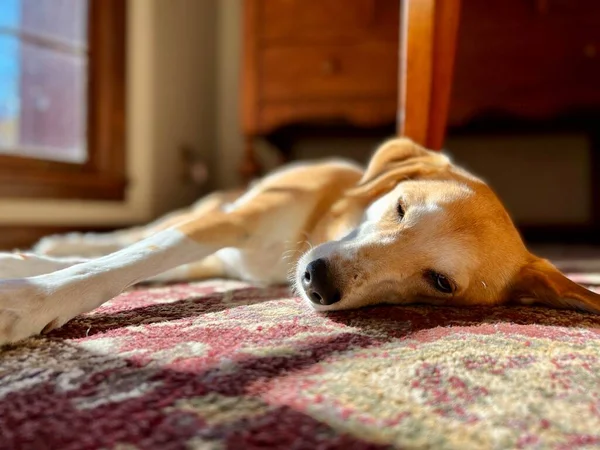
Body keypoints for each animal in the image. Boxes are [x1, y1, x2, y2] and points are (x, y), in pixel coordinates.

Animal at [0, 138, 596, 344]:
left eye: (441, 282)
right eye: (401, 208)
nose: (317, 281)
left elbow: (134, 262)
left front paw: (28, 283)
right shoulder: (227, 223)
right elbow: (127, 259)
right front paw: (30, 303)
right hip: (210, 213)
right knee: (135, 235)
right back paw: (52, 244)